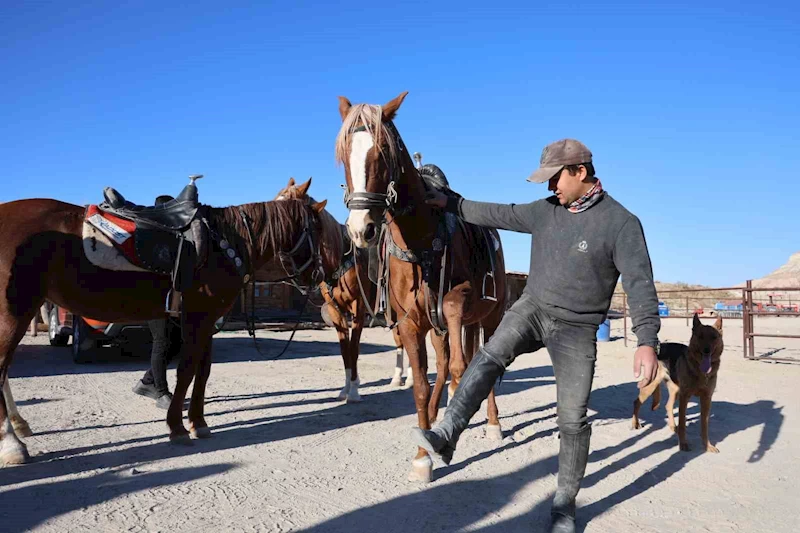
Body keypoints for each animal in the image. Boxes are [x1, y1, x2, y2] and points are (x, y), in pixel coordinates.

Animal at [0, 189, 332, 464]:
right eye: (318, 230)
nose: (320, 276)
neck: (224, 243)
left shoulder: (207, 321)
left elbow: (202, 372)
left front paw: (199, 423)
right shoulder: (197, 318)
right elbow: (186, 370)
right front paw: (178, 427)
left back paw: (19, 426)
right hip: (14, 312)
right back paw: (11, 443)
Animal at [274, 177, 416, 396]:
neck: (339, 259)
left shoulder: (359, 309)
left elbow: (354, 348)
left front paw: (355, 391)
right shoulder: (335, 310)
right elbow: (344, 349)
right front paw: (347, 387)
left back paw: (409, 379)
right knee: (400, 340)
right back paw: (396, 378)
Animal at [336, 92, 506, 482]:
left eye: (384, 151)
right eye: (344, 154)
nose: (361, 229)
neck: (420, 239)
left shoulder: (455, 305)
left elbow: (463, 368)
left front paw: (445, 439)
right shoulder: (413, 324)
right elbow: (420, 384)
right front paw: (422, 454)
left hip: (488, 317)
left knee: (476, 364)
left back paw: (492, 423)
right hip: (442, 326)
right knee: (442, 368)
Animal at [636, 314, 720, 450]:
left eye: (714, 337)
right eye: (700, 336)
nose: (706, 350)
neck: (701, 372)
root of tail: (658, 348)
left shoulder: (706, 399)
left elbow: (704, 426)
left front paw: (708, 446)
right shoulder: (684, 397)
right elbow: (682, 422)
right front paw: (683, 444)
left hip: (675, 390)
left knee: (668, 406)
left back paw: (673, 427)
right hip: (651, 386)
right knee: (636, 402)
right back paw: (635, 423)